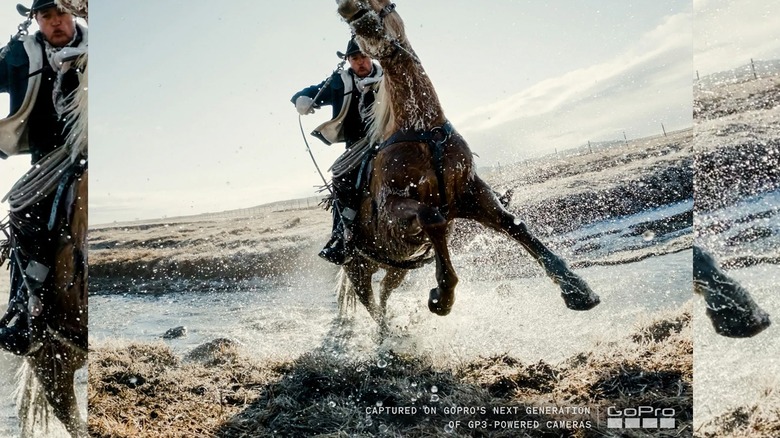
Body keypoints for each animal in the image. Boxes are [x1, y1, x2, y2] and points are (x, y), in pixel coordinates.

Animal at [332, 0, 599, 332]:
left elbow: (514, 225)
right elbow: (432, 218)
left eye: (385, 4)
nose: (350, 10)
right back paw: (387, 337)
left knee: (384, 292)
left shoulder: (469, 192)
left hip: (396, 267)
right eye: (351, 27)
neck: (423, 129)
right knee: (372, 305)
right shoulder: (393, 206)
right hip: (358, 269)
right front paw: (441, 298)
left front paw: (577, 289)